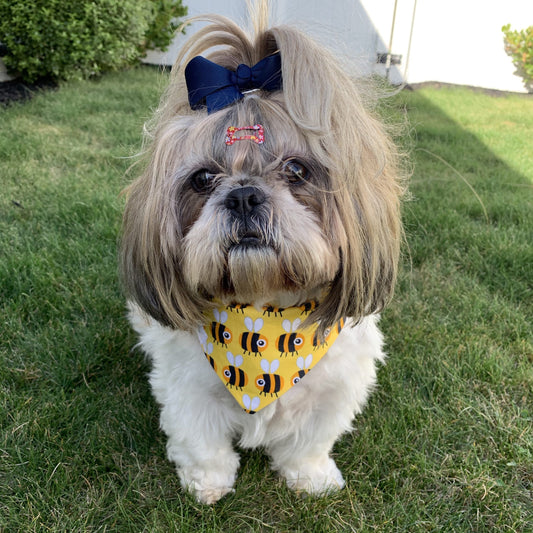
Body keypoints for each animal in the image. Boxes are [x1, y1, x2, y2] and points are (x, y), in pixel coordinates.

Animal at [120, 2, 404, 504]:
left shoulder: (333, 391)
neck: (264, 317)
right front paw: (207, 484)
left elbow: (309, 442)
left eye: (297, 169)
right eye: (202, 179)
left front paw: (311, 476)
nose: (244, 196)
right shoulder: (188, 391)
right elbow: (201, 443)